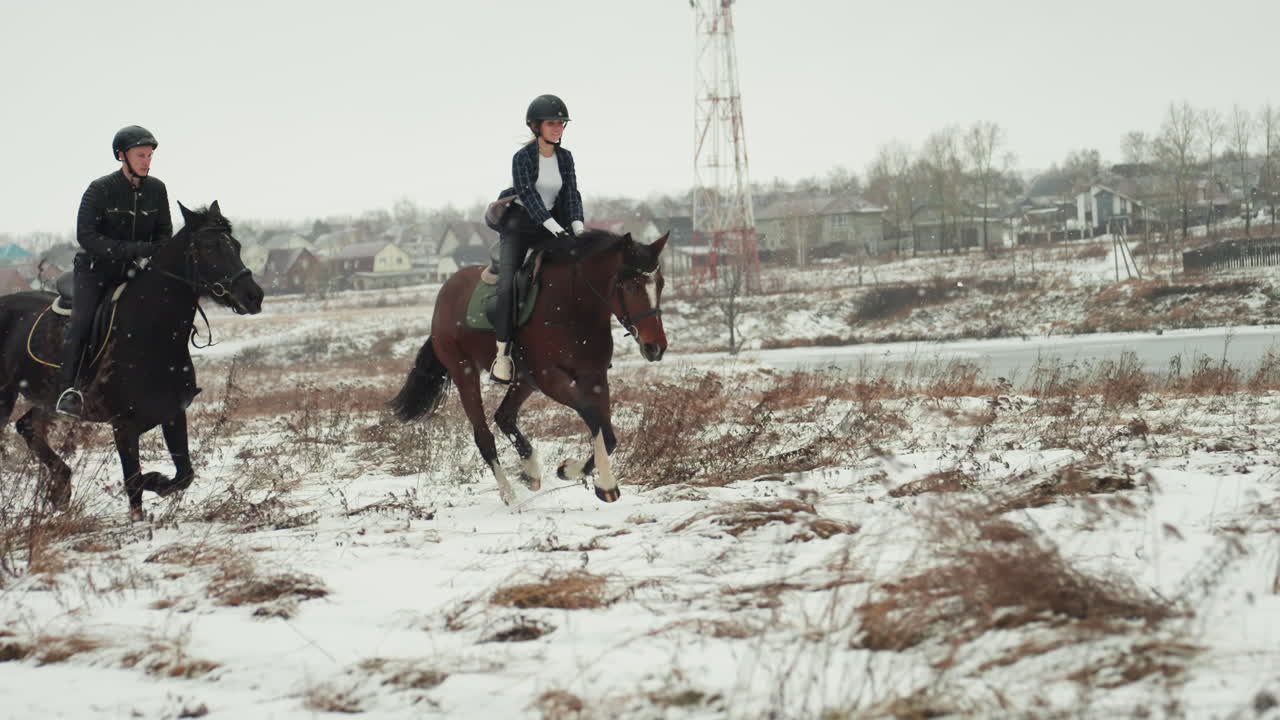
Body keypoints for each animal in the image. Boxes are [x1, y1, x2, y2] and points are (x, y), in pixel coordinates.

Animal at [0, 201, 264, 521]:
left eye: (236, 245)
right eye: (210, 247)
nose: (254, 296)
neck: (151, 332)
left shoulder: (173, 414)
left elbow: (184, 474)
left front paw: (158, 482)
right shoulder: (124, 426)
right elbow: (134, 482)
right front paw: (145, 506)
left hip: (47, 400)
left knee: (27, 426)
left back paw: (60, 487)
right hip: (5, 399)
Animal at [391, 229, 669, 505]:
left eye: (661, 283)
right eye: (631, 286)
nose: (656, 347)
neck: (574, 305)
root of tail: (445, 292)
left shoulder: (595, 378)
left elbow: (607, 434)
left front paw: (574, 472)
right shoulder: (552, 379)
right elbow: (595, 420)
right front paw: (602, 482)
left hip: (524, 380)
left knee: (503, 416)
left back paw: (531, 470)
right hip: (465, 372)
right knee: (484, 436)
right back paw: (510, 496)